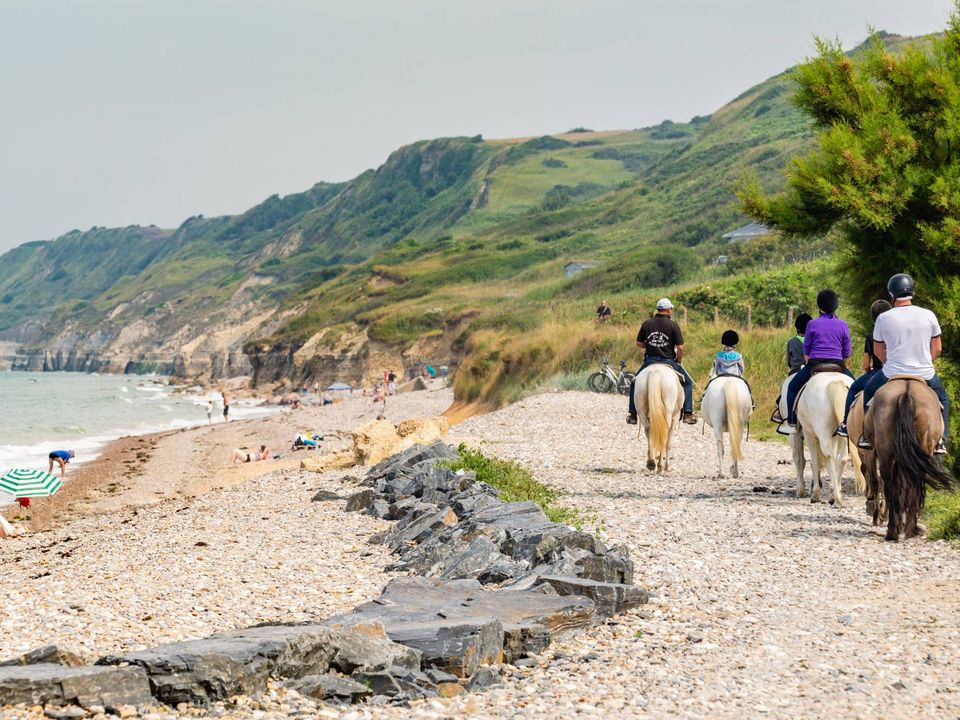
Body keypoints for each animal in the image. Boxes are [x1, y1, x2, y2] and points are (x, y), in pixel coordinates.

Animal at [792, 372, 852, 506]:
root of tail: (835, 382)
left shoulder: (808, 434)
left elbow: (811, 461)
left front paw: (815, 494)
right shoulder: (834, 437)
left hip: (820, 433)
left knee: (829, 457)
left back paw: (836, 498)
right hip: (845, 435)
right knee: (842, 458)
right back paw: (835, 495)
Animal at [864, 376, 952, 540]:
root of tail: (906, 393)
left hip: (888, 454)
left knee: (894, 486)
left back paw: (896, 530)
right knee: (909, 486)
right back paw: (906, 529)